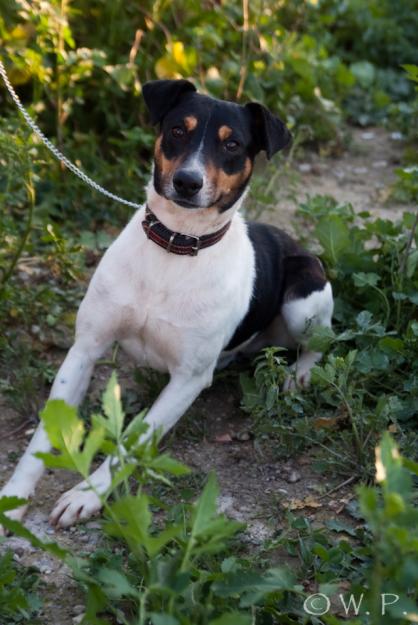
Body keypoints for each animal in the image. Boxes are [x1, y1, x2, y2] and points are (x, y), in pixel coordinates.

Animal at [0, 77, 334, 528]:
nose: (188, 182)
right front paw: (15, 496)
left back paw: (299, 375)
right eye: (178, 130)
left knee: (324, 341)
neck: (176, 243)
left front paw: (86, 494)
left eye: (232, 144)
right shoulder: (84, 350)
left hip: (303, 300)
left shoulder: (187, 380)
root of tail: (297, 244)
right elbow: (40, 438)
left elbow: (131, 441)